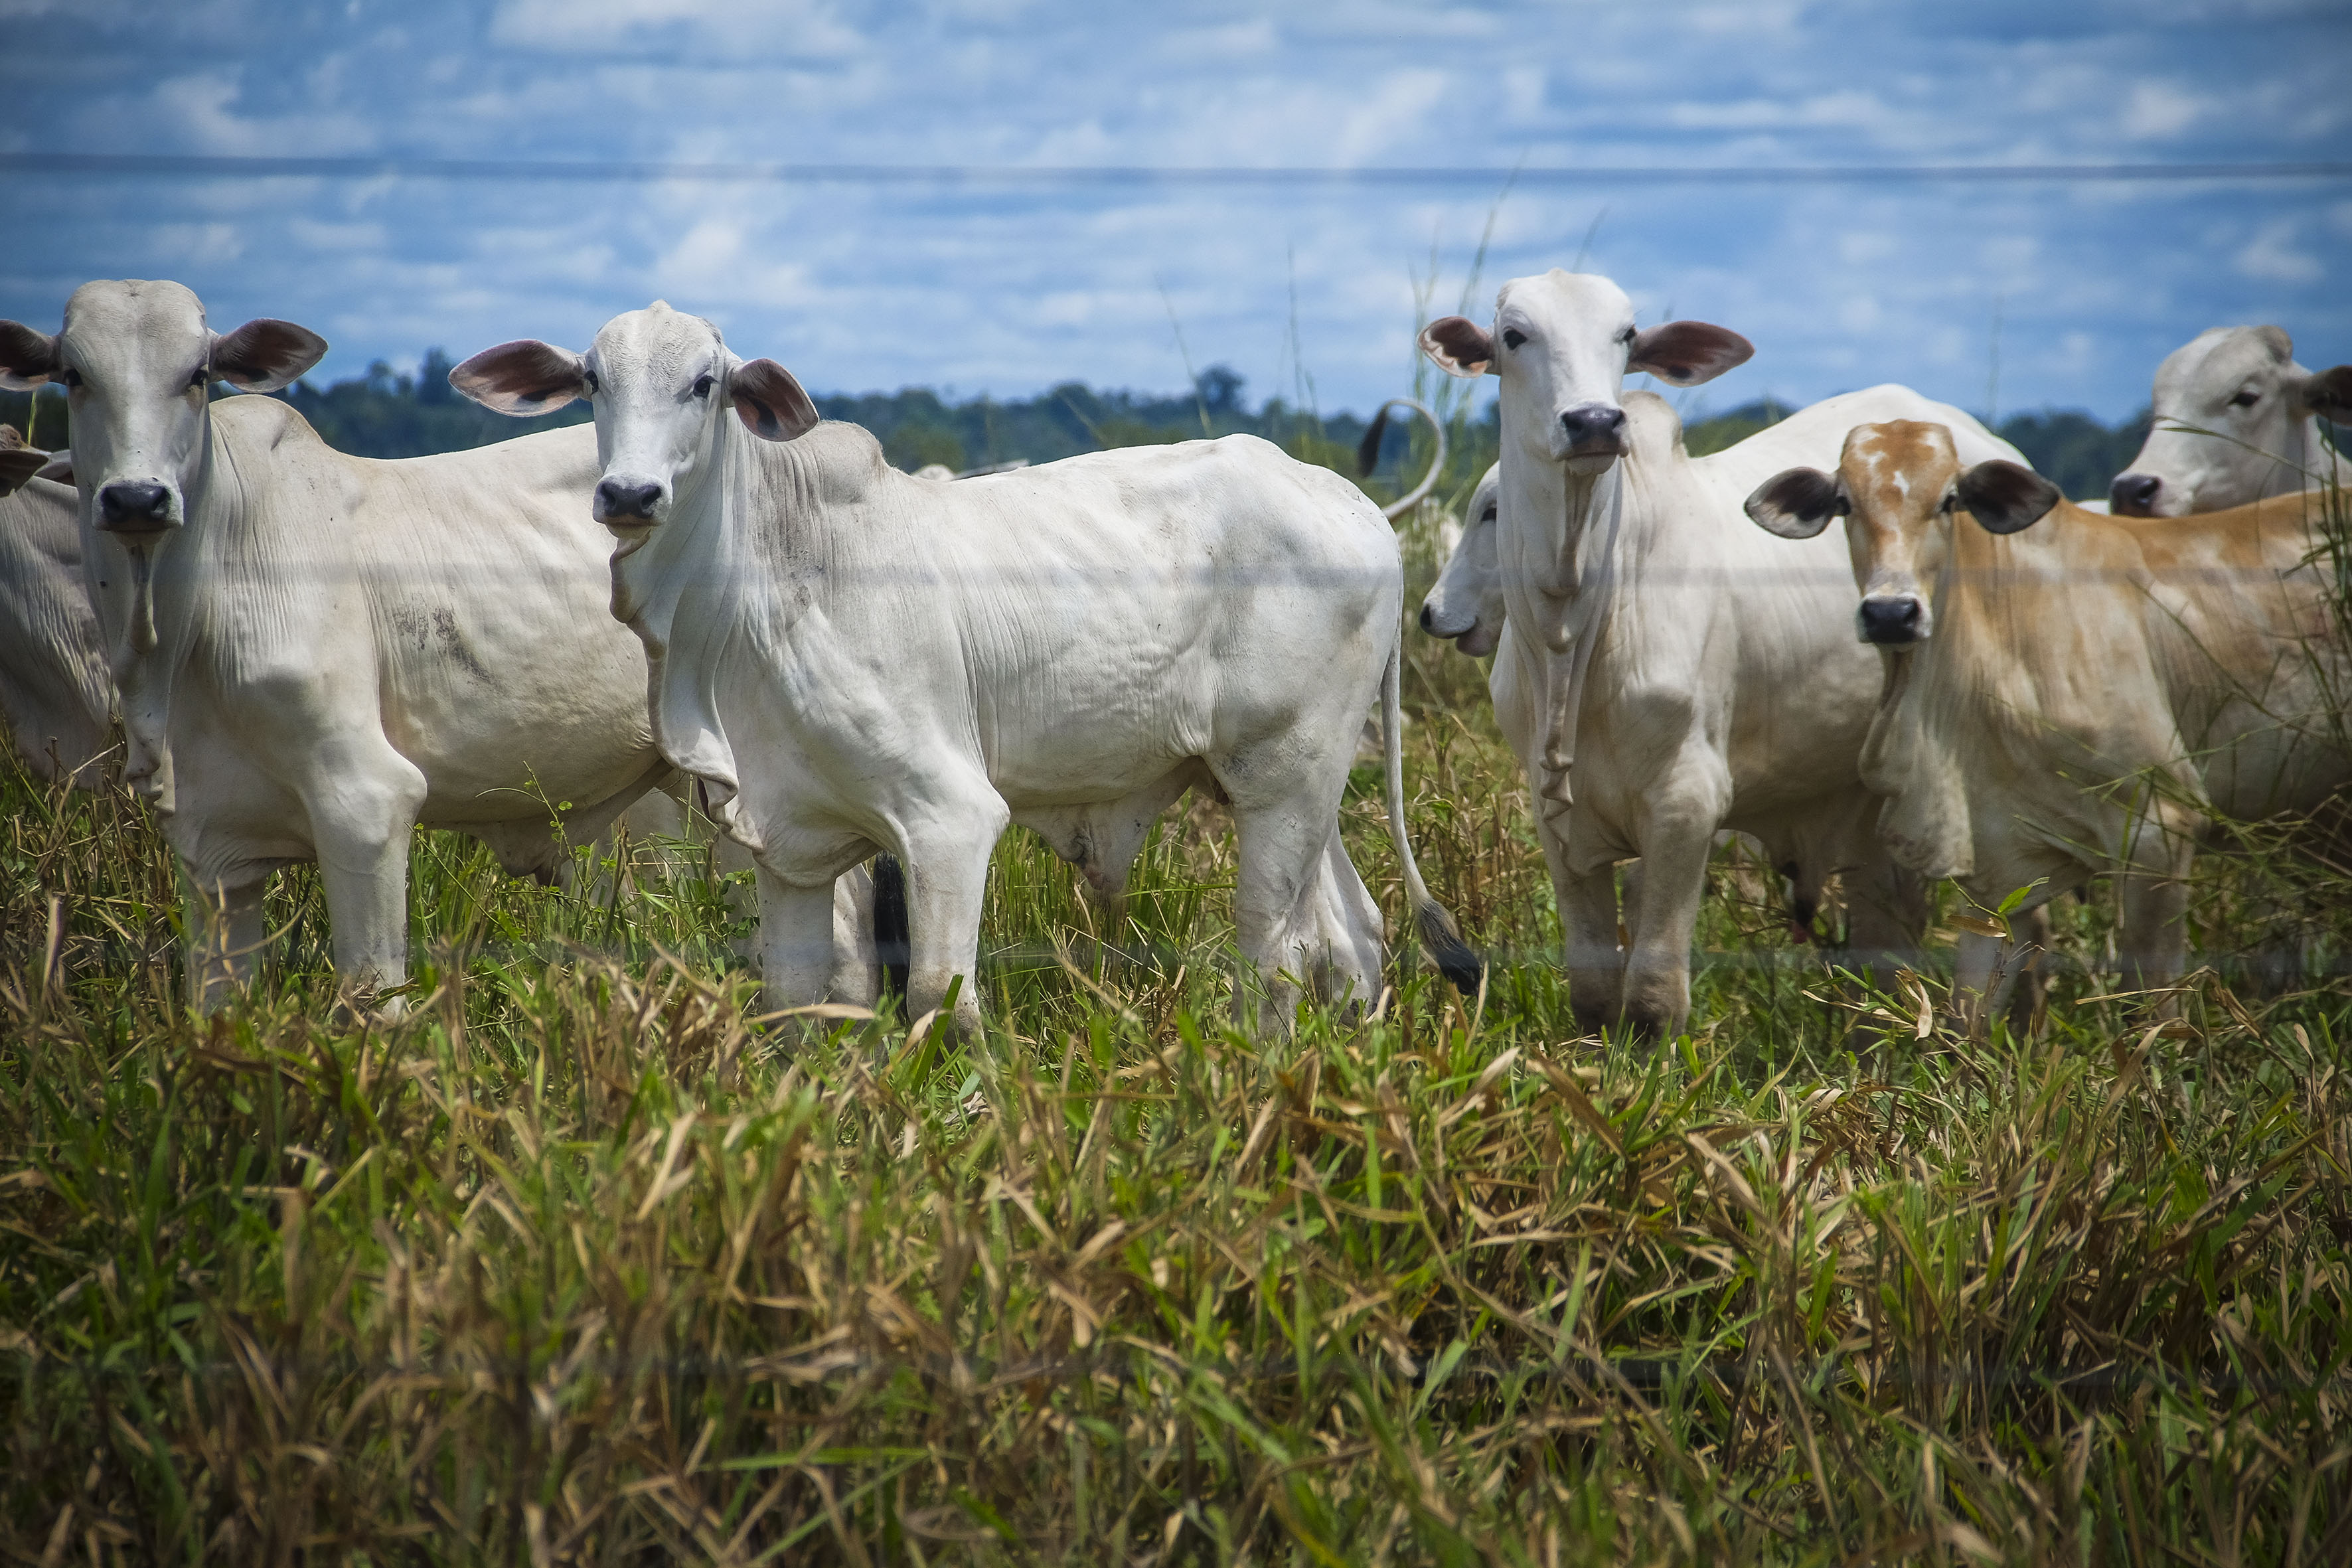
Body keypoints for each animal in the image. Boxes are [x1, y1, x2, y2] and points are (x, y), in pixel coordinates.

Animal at [444, 305, 1467, 1044]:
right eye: (591, 378)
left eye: (704, 382)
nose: (628, 493)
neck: (753, 598)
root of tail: (1354, 504)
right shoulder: (787, 836)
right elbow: (794, 998)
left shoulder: (947, 819)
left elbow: (941, 999)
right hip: (1291, 785)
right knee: (1349, 934)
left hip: (1281, 784)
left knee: (1272, 951)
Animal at [1411, 276, 2022, 1034]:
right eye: (1513, 336)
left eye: (1626, 335)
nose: (1593, 421)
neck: (1573, 627)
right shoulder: (1557, 819)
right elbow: (1592, 990)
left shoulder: (1687, 803)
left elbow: (1652, 993)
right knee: (1888, 933)